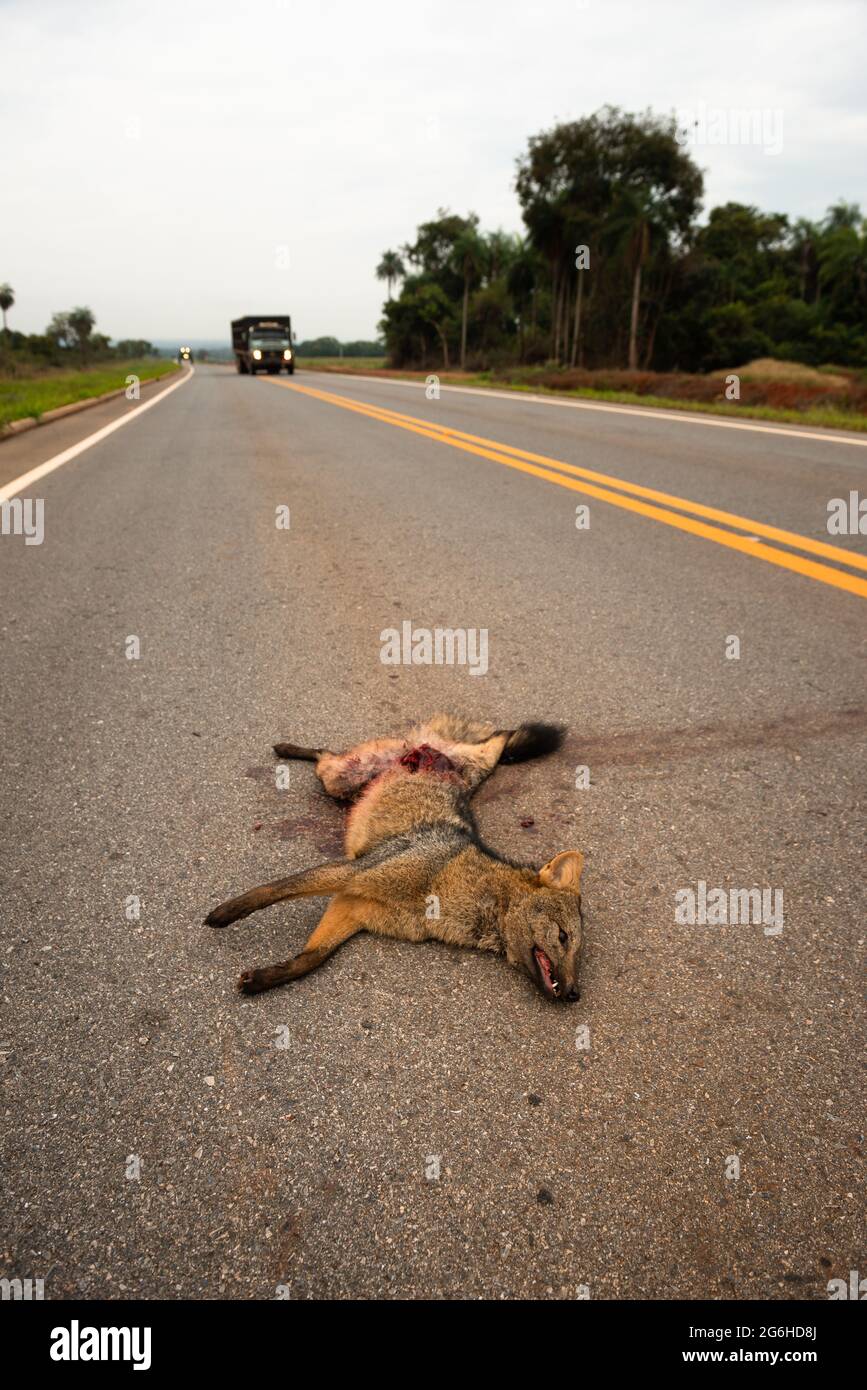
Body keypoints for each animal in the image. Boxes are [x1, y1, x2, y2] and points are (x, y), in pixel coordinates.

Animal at [205, 714, 585, 1003]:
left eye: (578, 955)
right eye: (563, 938)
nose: (574, 995)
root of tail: (440, 751)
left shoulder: (352, 906)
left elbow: (311, 959)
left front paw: (265, 978)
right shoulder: (352, 872)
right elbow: (272, 889)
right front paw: (226, 913)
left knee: (501, 737)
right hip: (340, 779)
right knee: (501, 735)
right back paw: (286, 748)